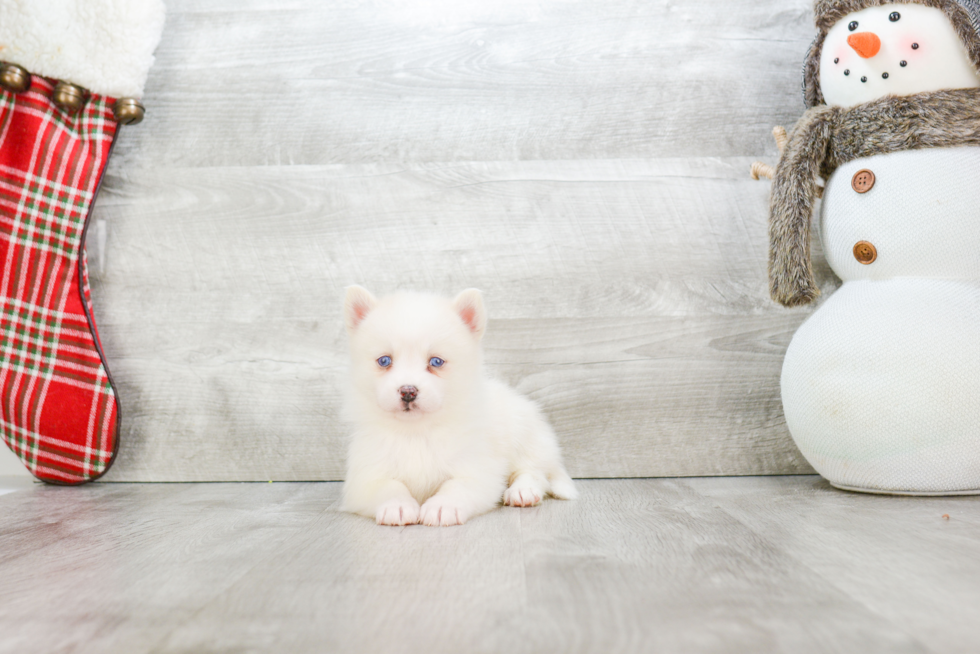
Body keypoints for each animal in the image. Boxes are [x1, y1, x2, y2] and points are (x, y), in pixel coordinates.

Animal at [342, 288, 580, 528]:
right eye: (384, 361)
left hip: (523, 434)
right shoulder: (363, 478)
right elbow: (389, 486)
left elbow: (456, 486)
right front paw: (397, 505)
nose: (408, 391)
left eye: (436, 362)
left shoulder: (477, 470)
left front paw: (442, 506)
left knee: (534, 472)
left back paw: (523, 491)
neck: (417, 432)